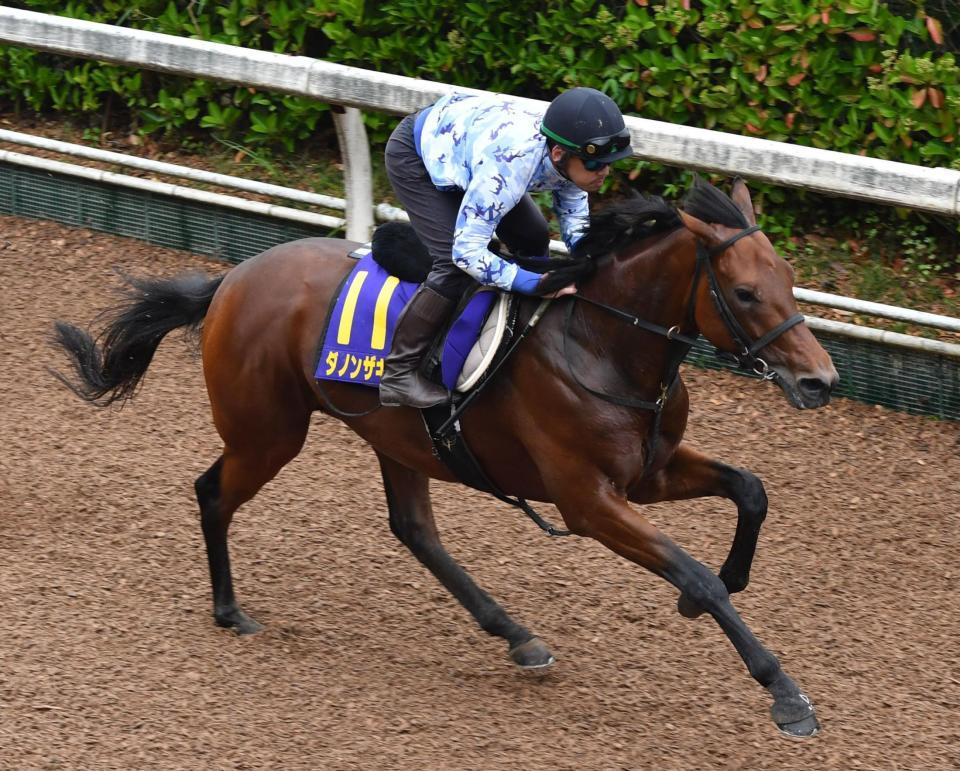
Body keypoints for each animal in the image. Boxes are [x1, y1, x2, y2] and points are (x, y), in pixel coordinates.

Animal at [52, 178, 836, 740]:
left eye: (789, 278)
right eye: (744, 292)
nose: (819, 381)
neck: (600, 343)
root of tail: (232, 279)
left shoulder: (649, 472)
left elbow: (751, 489)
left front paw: (726, 582)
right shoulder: (588, 501)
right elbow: (694, 571)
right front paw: (785, 693)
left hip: (395, 437)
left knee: (414, 530)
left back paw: (516, 635)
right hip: (268, 433)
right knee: (214, 492)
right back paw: (229, 609)